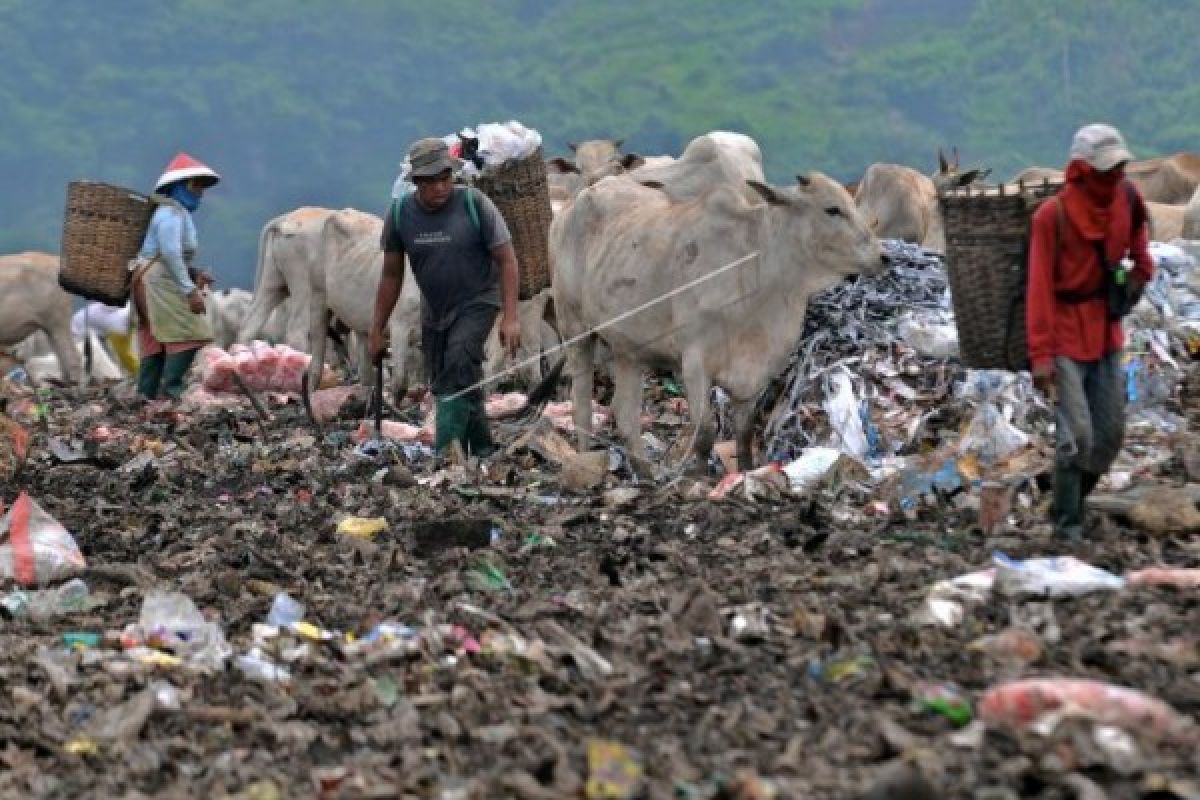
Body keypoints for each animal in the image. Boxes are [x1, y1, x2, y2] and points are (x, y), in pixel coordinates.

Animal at [556, 133, 888, 470]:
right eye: (832, 209)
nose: (883, 256)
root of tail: (579, 198)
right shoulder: (694, 363)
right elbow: (704, 433)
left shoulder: (753, 375)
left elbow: (744, 434)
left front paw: (744, 472)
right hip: (574, 327)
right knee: (581, 404)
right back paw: (584, 457)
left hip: (629, 350)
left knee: (625, 417)